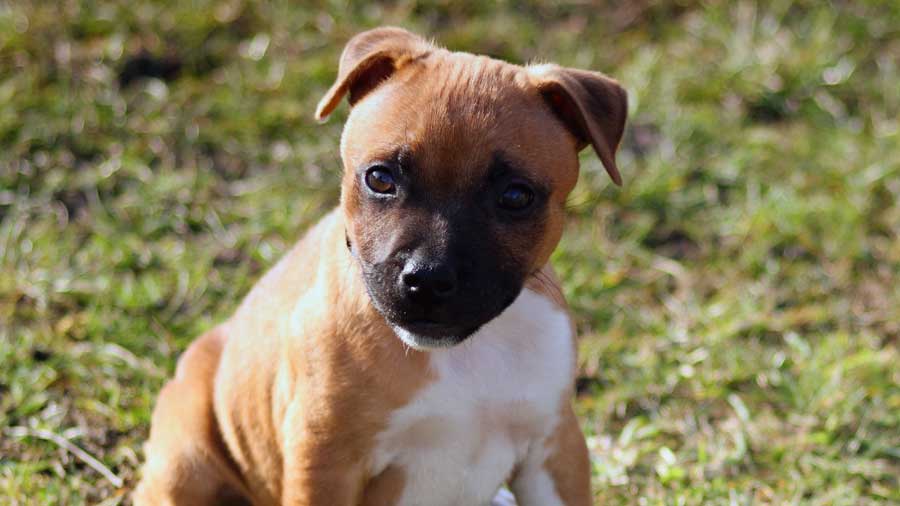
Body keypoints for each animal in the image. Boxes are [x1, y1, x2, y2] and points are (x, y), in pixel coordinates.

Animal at [135, 27, 624, 506]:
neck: (462, 354)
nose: (428, 278)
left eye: (516, 196)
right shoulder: (325, 459)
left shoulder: (554, 446)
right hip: (185, 457)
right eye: (380, 178)